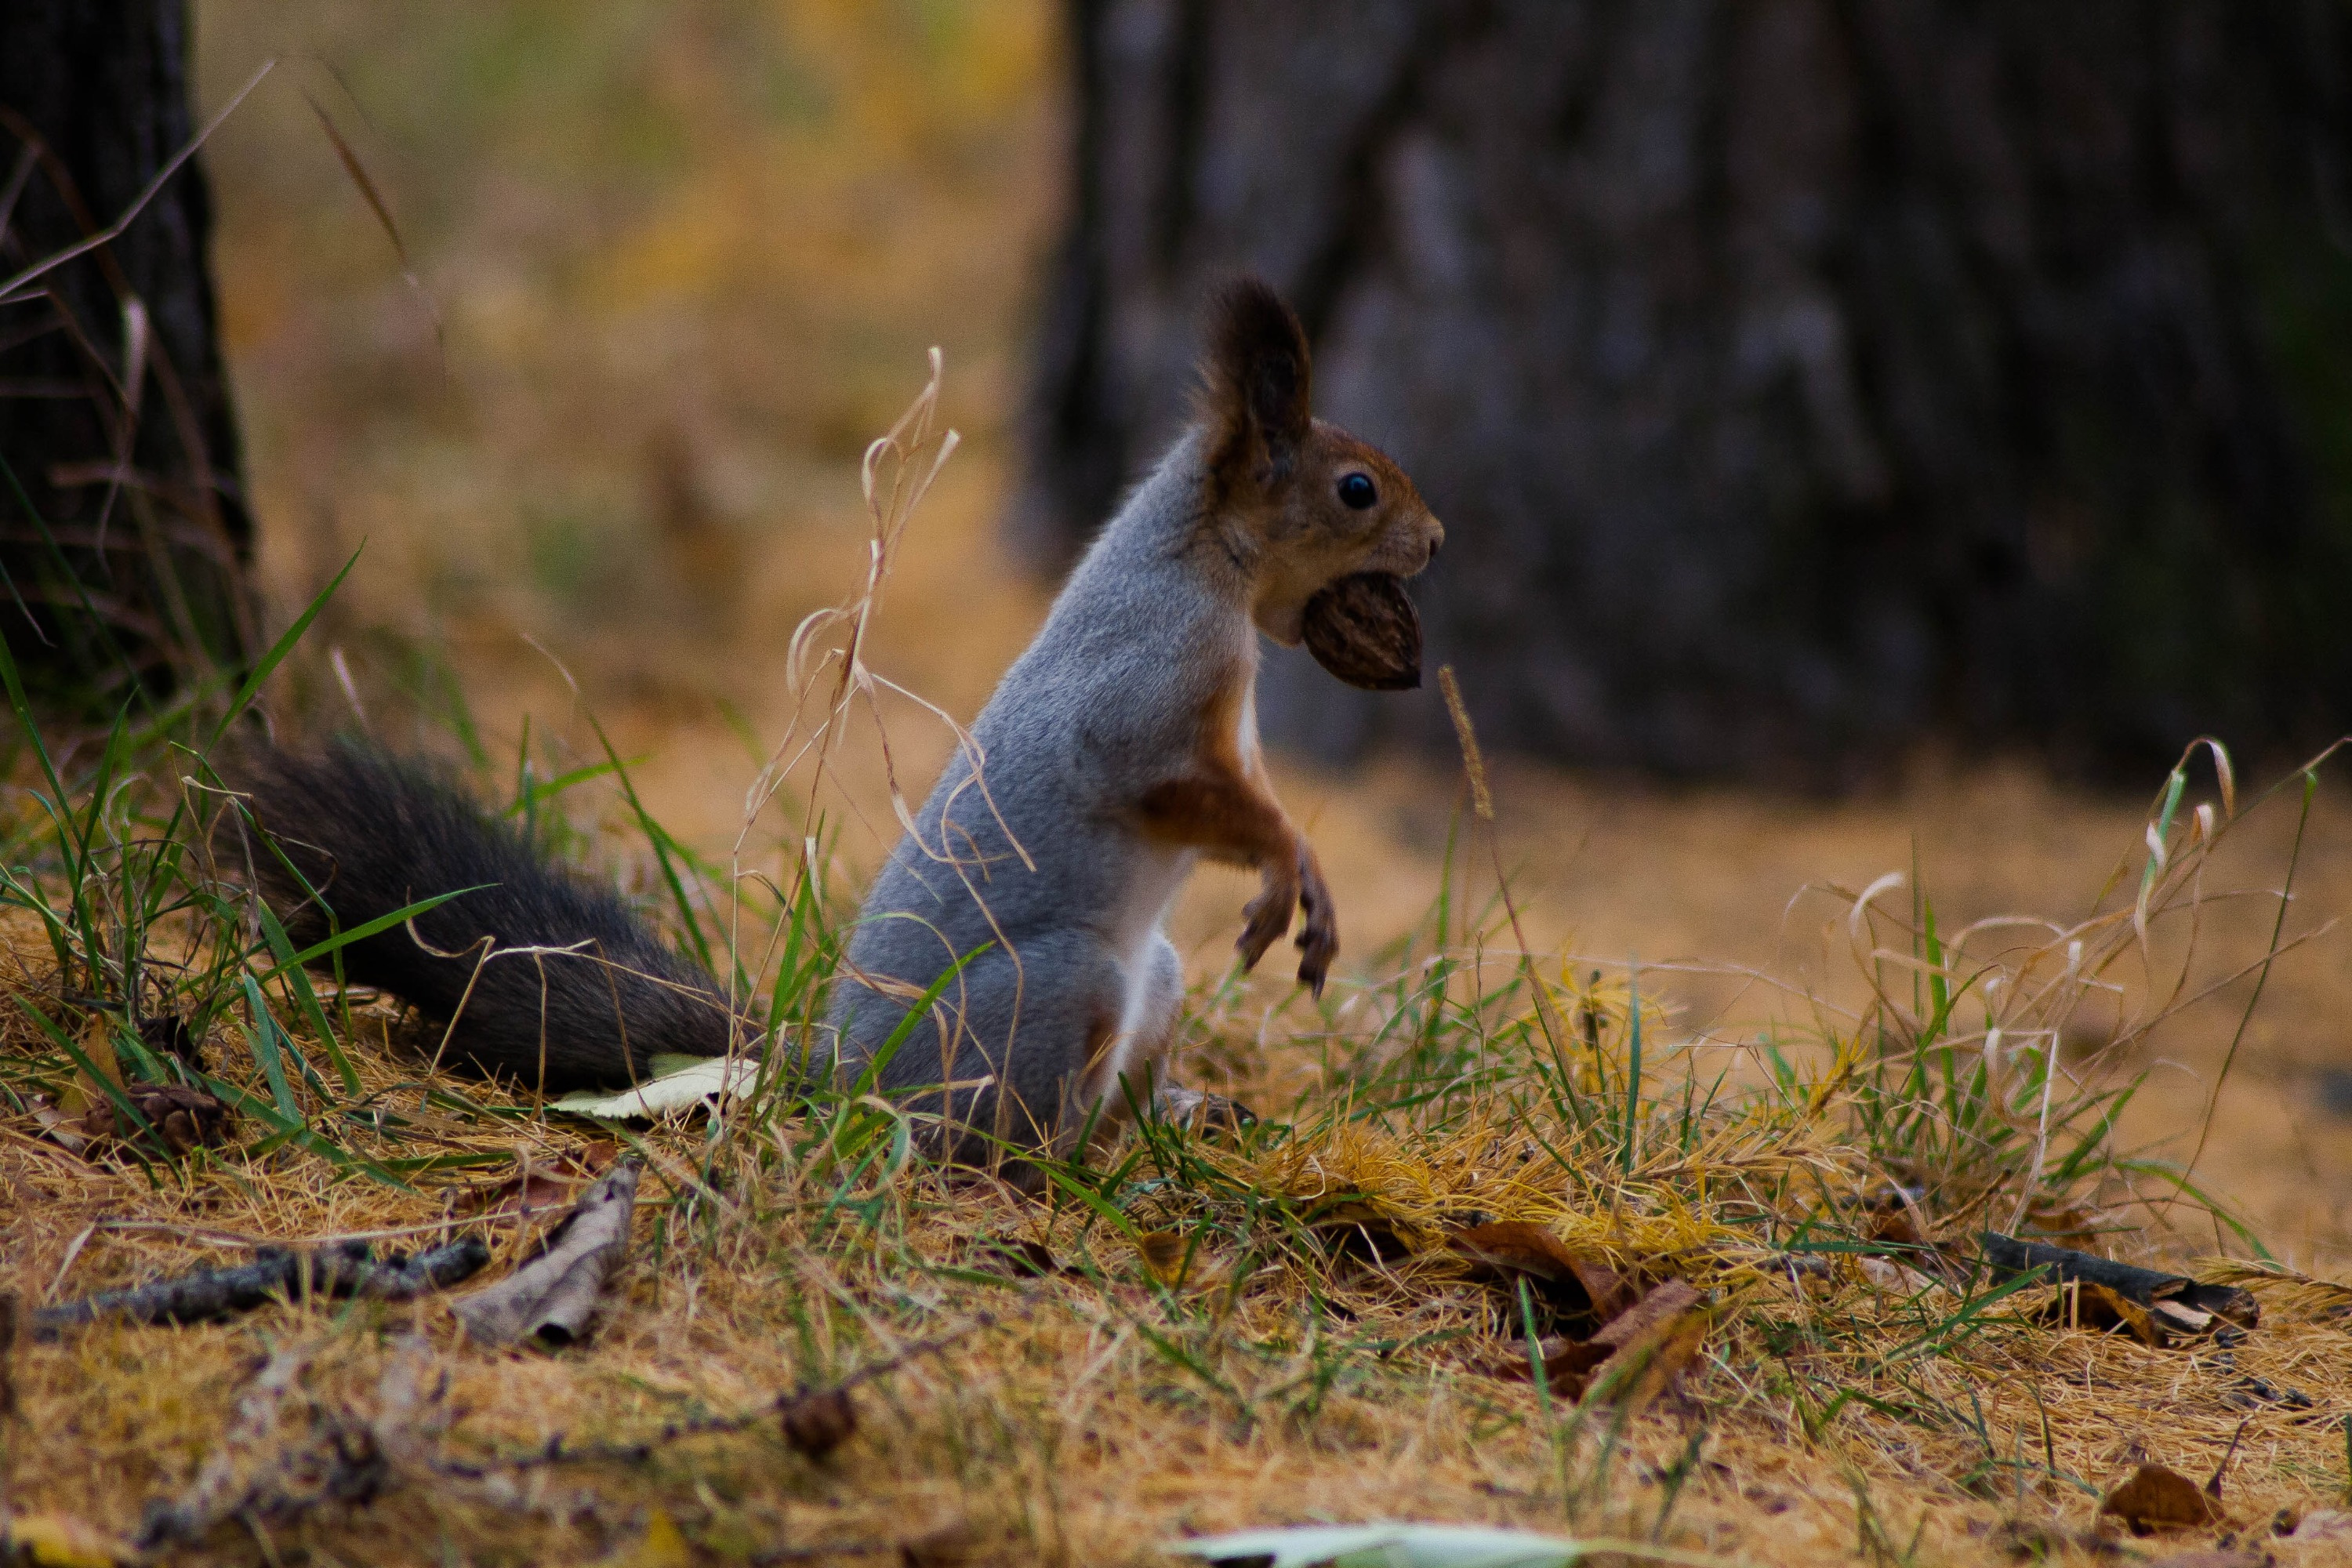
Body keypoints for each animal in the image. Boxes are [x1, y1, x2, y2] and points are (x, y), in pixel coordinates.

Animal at [837, 278, 1439, 1166]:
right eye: (1357, 489)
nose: (1436, 540)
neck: (1201, 560)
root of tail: (833, 1084)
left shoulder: (1233, 745)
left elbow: (1248, 807)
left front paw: (1309, 881)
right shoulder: (1154, 681)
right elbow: (1169, 785)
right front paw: (1286, 867)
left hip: (1157, 978)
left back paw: (1173, 1127)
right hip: (1047, 995)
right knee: (1000, 1140)